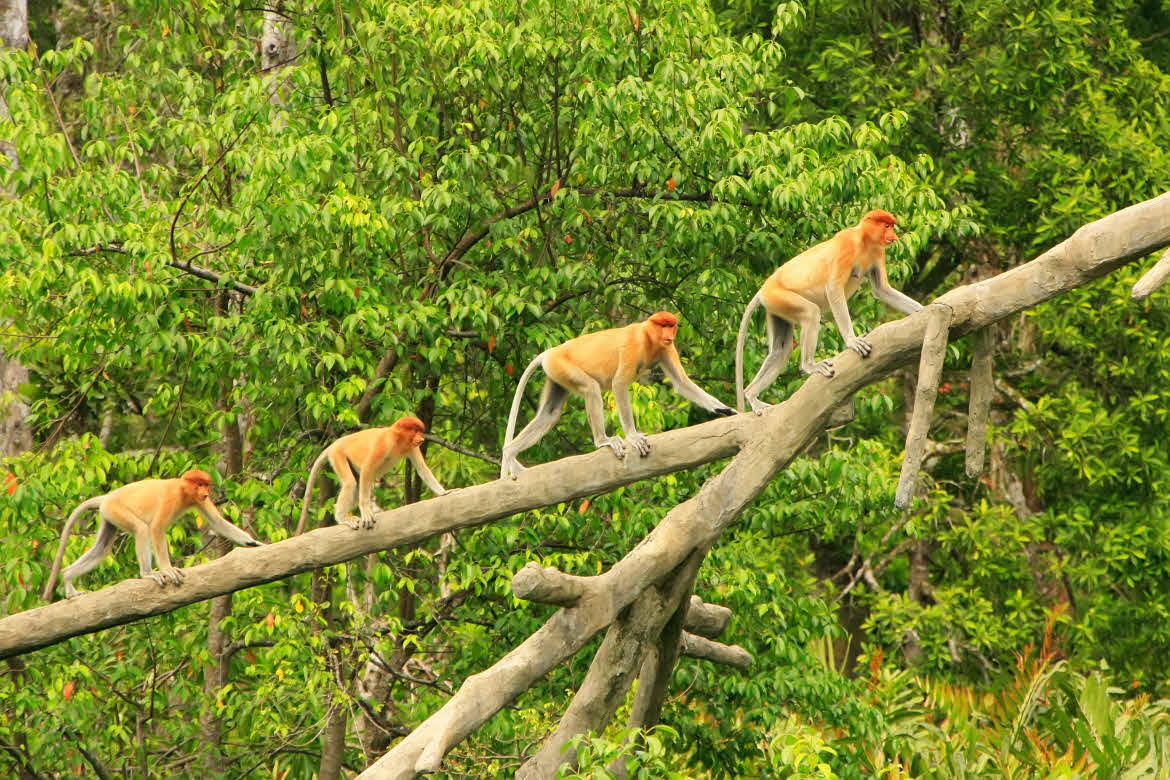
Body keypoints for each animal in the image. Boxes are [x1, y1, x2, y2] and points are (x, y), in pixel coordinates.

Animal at [42, 469, 264, 601]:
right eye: (199, 484)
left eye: (206, 485)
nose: (206, 491)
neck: (183, 490)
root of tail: (107, 497)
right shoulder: (171, 498)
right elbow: (157, 528)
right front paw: (168, 569)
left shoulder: (199, 500)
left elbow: (218, 522)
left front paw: (255, 543)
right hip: (116, 510)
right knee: (142, 529)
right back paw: (148, 573)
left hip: (108, 515)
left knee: (102, 549)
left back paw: (67, 577)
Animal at [295, 415, 448, 536]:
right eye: (416, 431)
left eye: (421, 431)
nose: (421, 439)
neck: (397, 439)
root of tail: (335, 443)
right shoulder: (384, 443)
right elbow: (368, 468)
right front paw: (366, 511)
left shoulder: (411, 447)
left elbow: (422, 469)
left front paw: (444, 492)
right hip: (338, 454)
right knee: (350, 483)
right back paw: (343, 518)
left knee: (356, 486)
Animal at [500, 311, 736, 479]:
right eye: (663, 326)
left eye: (672, 326)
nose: (670, 336)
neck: (648, 336)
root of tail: (551, 351)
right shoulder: (634, 346)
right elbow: (620, 383)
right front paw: (633, 436)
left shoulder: (666, 349)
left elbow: (682, 383)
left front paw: (725, 409)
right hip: (562, 365)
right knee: (591, 388)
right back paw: (603, 441)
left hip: (556, 373)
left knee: (550, 413)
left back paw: (510, 453)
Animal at [735, 209, 924, 413]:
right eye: (887, 225)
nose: (894, 236)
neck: (864, 240)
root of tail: (764, 288)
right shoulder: (846, 246)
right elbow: (834, 288)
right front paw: (852, 341)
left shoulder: (878, 252)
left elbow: (882, 290)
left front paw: (924, 310)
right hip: (779, 296)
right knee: (811, 313)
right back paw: (810, 365)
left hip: (775, 307)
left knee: (781, 349)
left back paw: (751, 394)